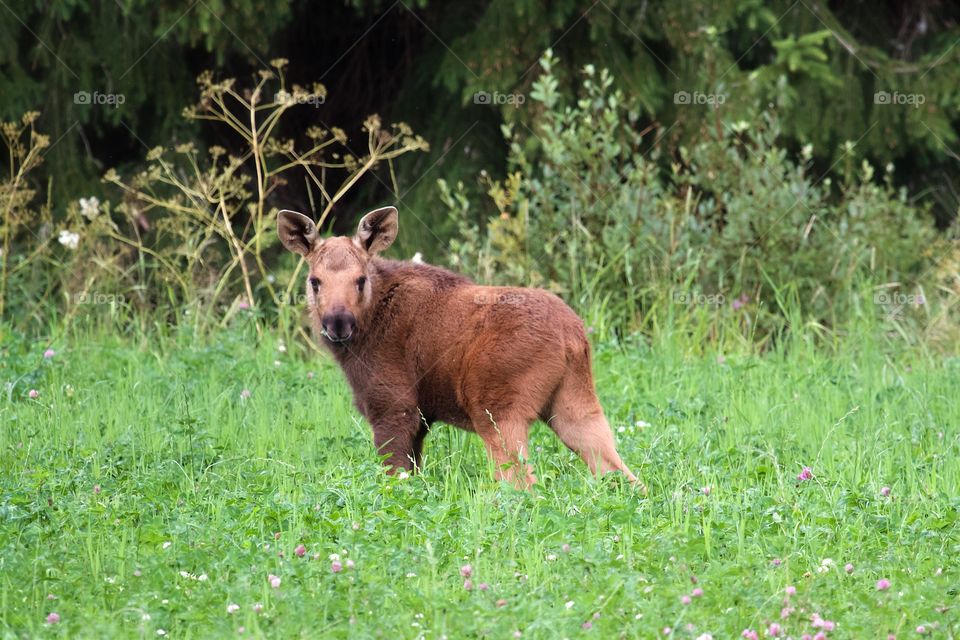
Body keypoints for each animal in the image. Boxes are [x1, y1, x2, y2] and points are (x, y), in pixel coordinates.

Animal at [278, 208, 636, 488]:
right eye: (315, 281)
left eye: (360, 279)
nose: (337, 323)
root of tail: (573, 336)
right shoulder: (420, 420)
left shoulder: (393, 407)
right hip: (574, 403)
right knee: (621, 473)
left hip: (496, 408)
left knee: (523, 482)